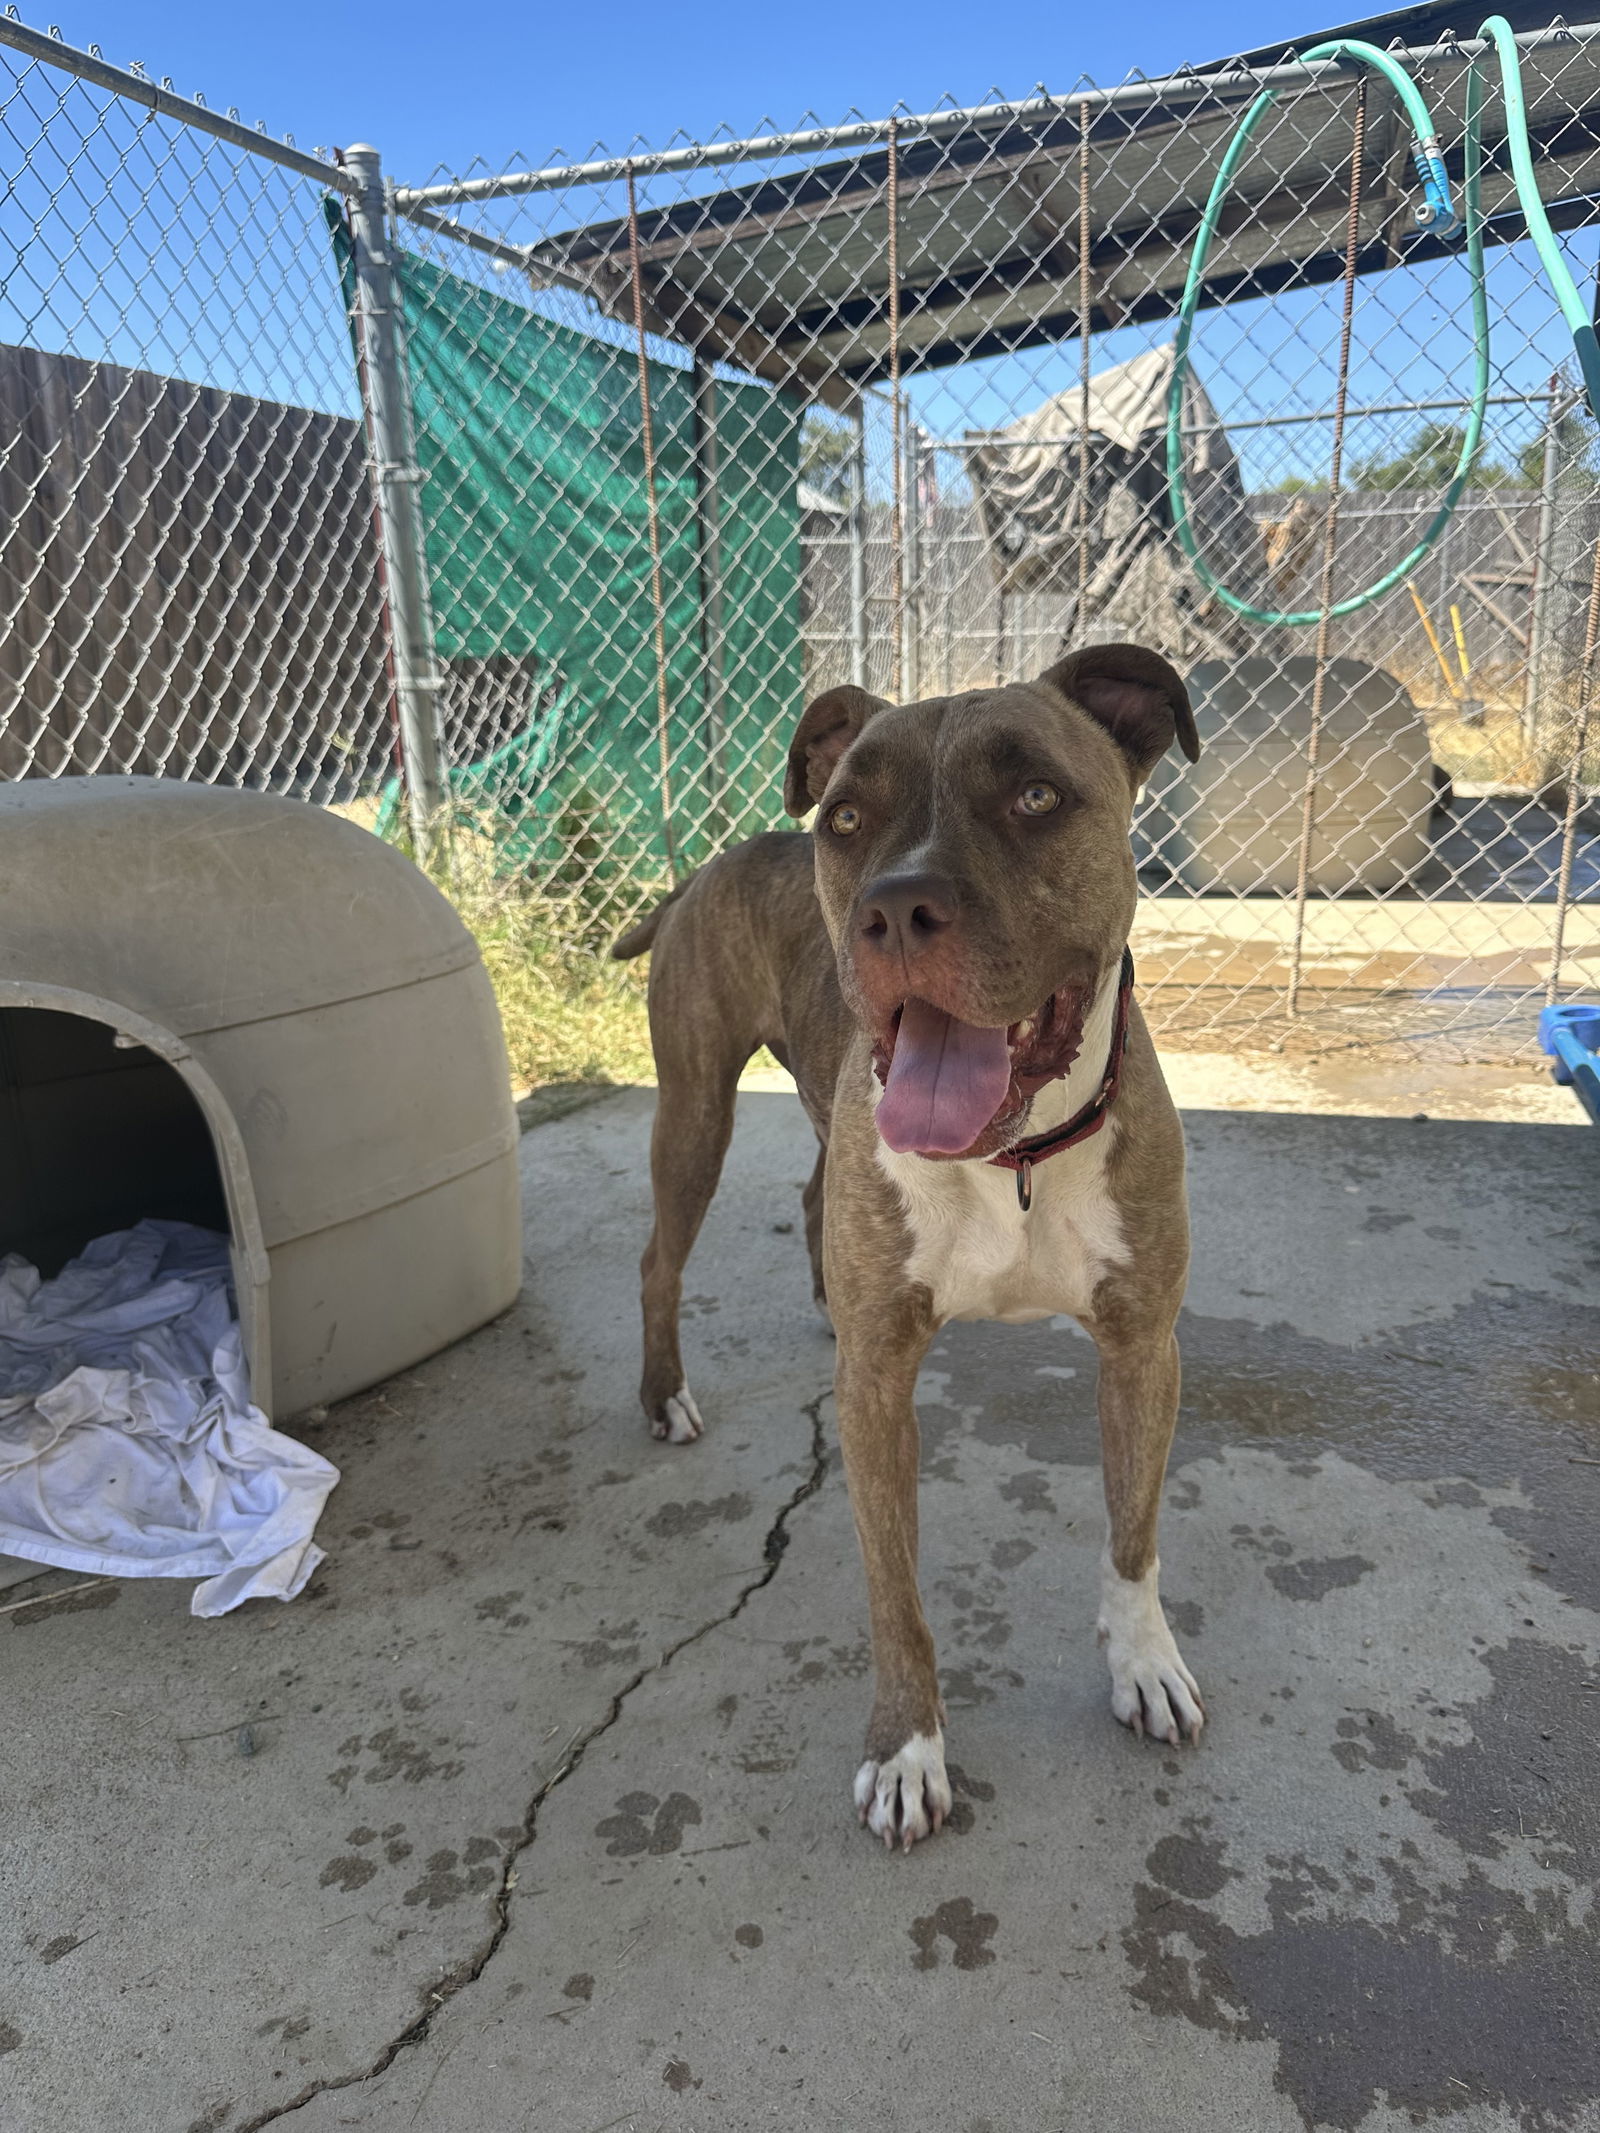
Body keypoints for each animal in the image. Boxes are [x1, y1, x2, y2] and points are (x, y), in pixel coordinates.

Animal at [618, 639, 1211, 1842]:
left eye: (1036, 796)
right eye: (847, 818)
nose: (893, 909)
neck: (1012, 1156)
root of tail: (706, 867)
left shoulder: (1143, 1349)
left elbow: (1132, 1534)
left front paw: (1143, 1663)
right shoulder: (879, 1389)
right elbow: (896, 1594)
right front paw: (906, 1751)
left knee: (809, 1193)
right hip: (694, 1109)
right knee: (661, 1257)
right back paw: (664, 1395)